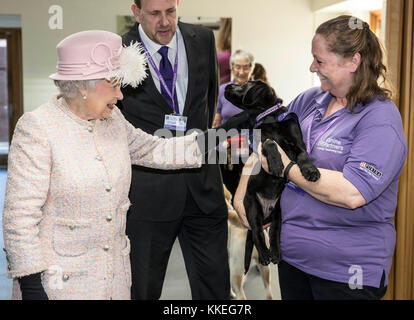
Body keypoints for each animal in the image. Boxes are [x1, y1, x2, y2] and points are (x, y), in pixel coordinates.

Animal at [223, 80, 320, 272]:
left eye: (244, 84)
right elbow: (270, 142)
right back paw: (264, 255)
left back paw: (276, 253)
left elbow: (303, 155)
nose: (226, 86)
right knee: (258, 232)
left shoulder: (298, 143)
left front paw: (311, 170)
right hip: (252, 207)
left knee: (274, 232)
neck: (271, 118)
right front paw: (276, 163)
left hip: (279, 211)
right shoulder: (260, 143)